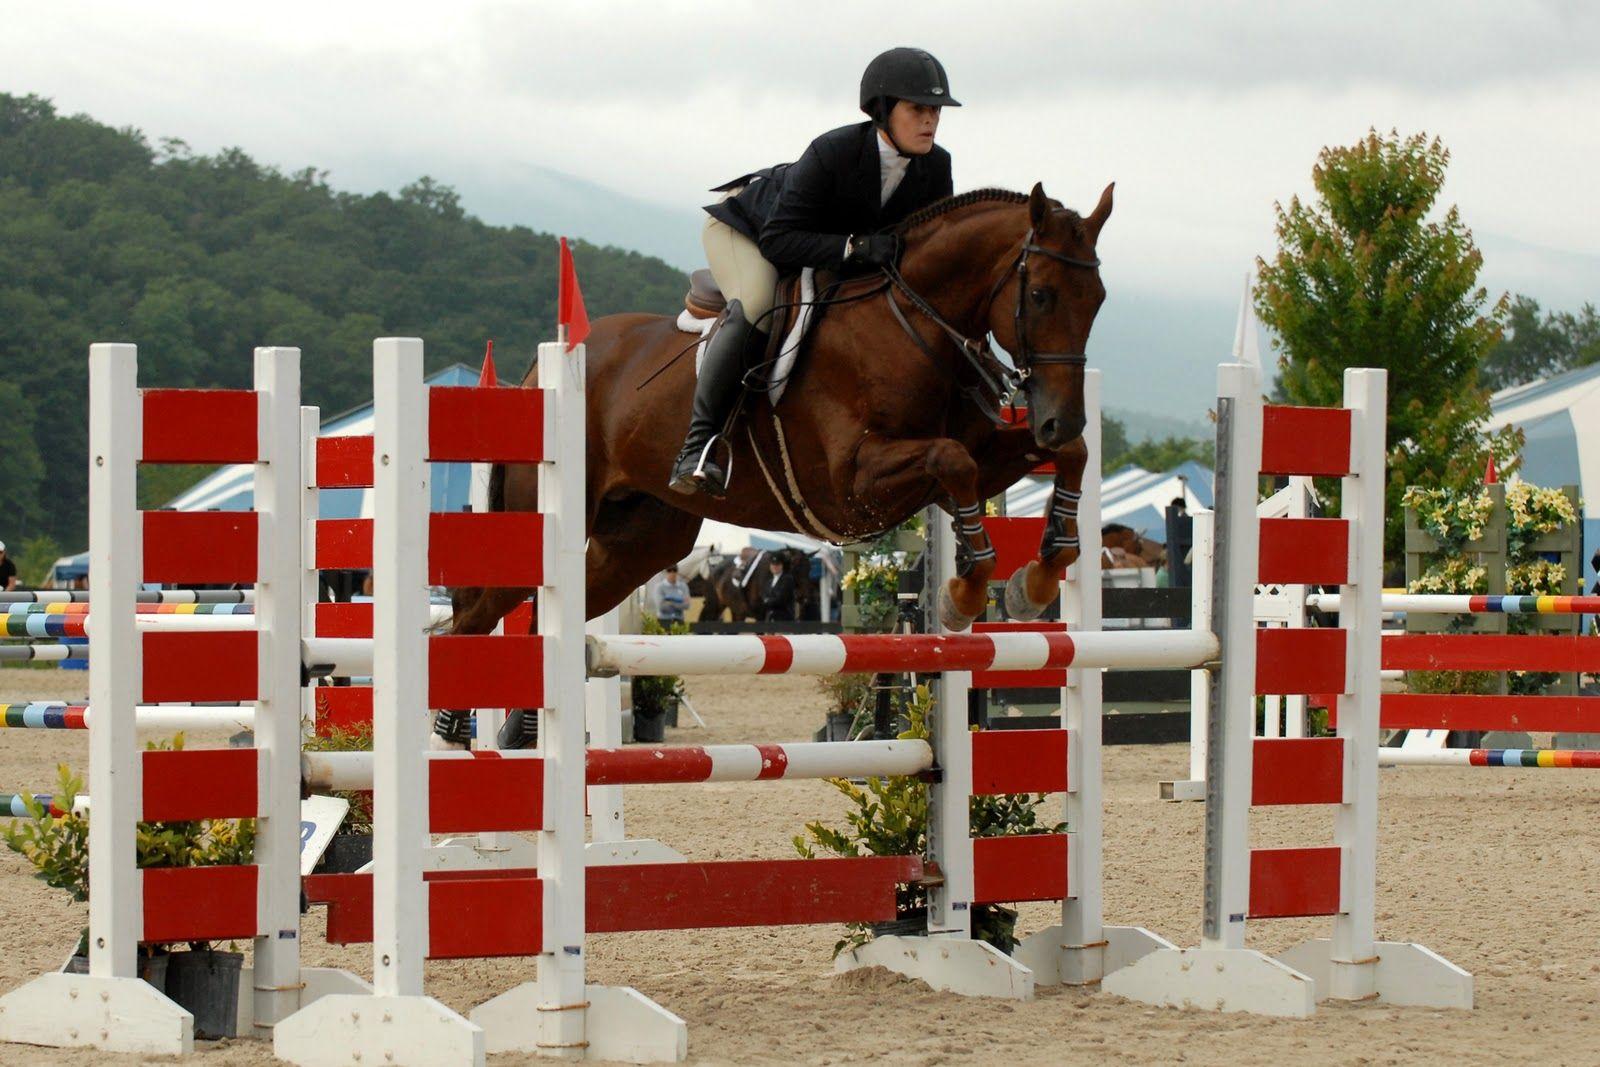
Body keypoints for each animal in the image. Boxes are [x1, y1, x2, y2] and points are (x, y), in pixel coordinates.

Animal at [450, 182, 1114, 639]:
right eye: (1040, 295)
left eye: (1098, 299)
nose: (1059, 416)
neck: (911, 321)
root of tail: (547, 364)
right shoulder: (849, 486)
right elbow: (953, 462)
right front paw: (967, 594)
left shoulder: (969, 456)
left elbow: (1062, 458)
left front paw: (1038, 575)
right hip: (543, 519)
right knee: (478, 616)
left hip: (640, 541)